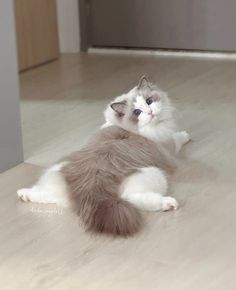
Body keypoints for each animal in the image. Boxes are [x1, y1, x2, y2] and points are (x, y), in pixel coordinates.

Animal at [17, 76, 190, 236]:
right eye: (137, 112)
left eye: (149, 101)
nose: (150, 112)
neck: (127, 128)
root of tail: (91, 191)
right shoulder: (169, 145)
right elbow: (178, 137)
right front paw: (186, 135)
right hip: (154, 173)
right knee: (132, 198)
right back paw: (169, 203)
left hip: (56, 176)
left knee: (44, 194)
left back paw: (24, 194)